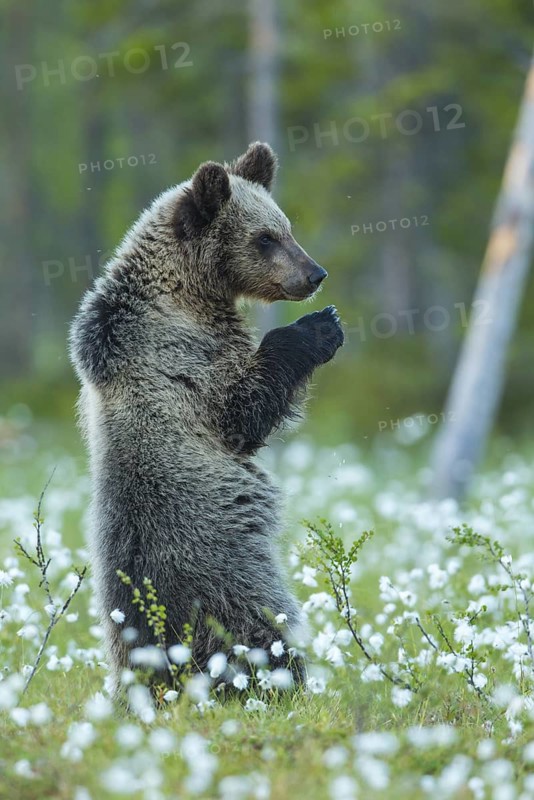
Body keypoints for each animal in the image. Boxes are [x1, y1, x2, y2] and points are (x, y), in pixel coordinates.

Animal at [69, 142, 344, 697]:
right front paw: (319, 327)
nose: (314, 275)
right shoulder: (183, 359)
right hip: (225, 570)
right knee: (257, 627)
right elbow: (245, 408)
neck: (188, 292)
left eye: (287, 227)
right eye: (265, 238)